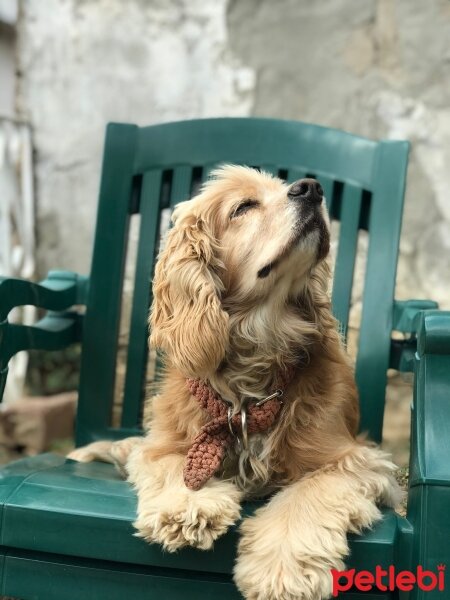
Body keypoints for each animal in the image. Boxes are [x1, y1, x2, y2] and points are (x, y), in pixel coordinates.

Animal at [70, 166, 400, 600]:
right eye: (243, 207)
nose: (312, 188)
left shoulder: (354, 458)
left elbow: (308, 493)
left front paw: (281, 568)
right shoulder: (165, 445)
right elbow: (173, 464)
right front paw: (190, 506)